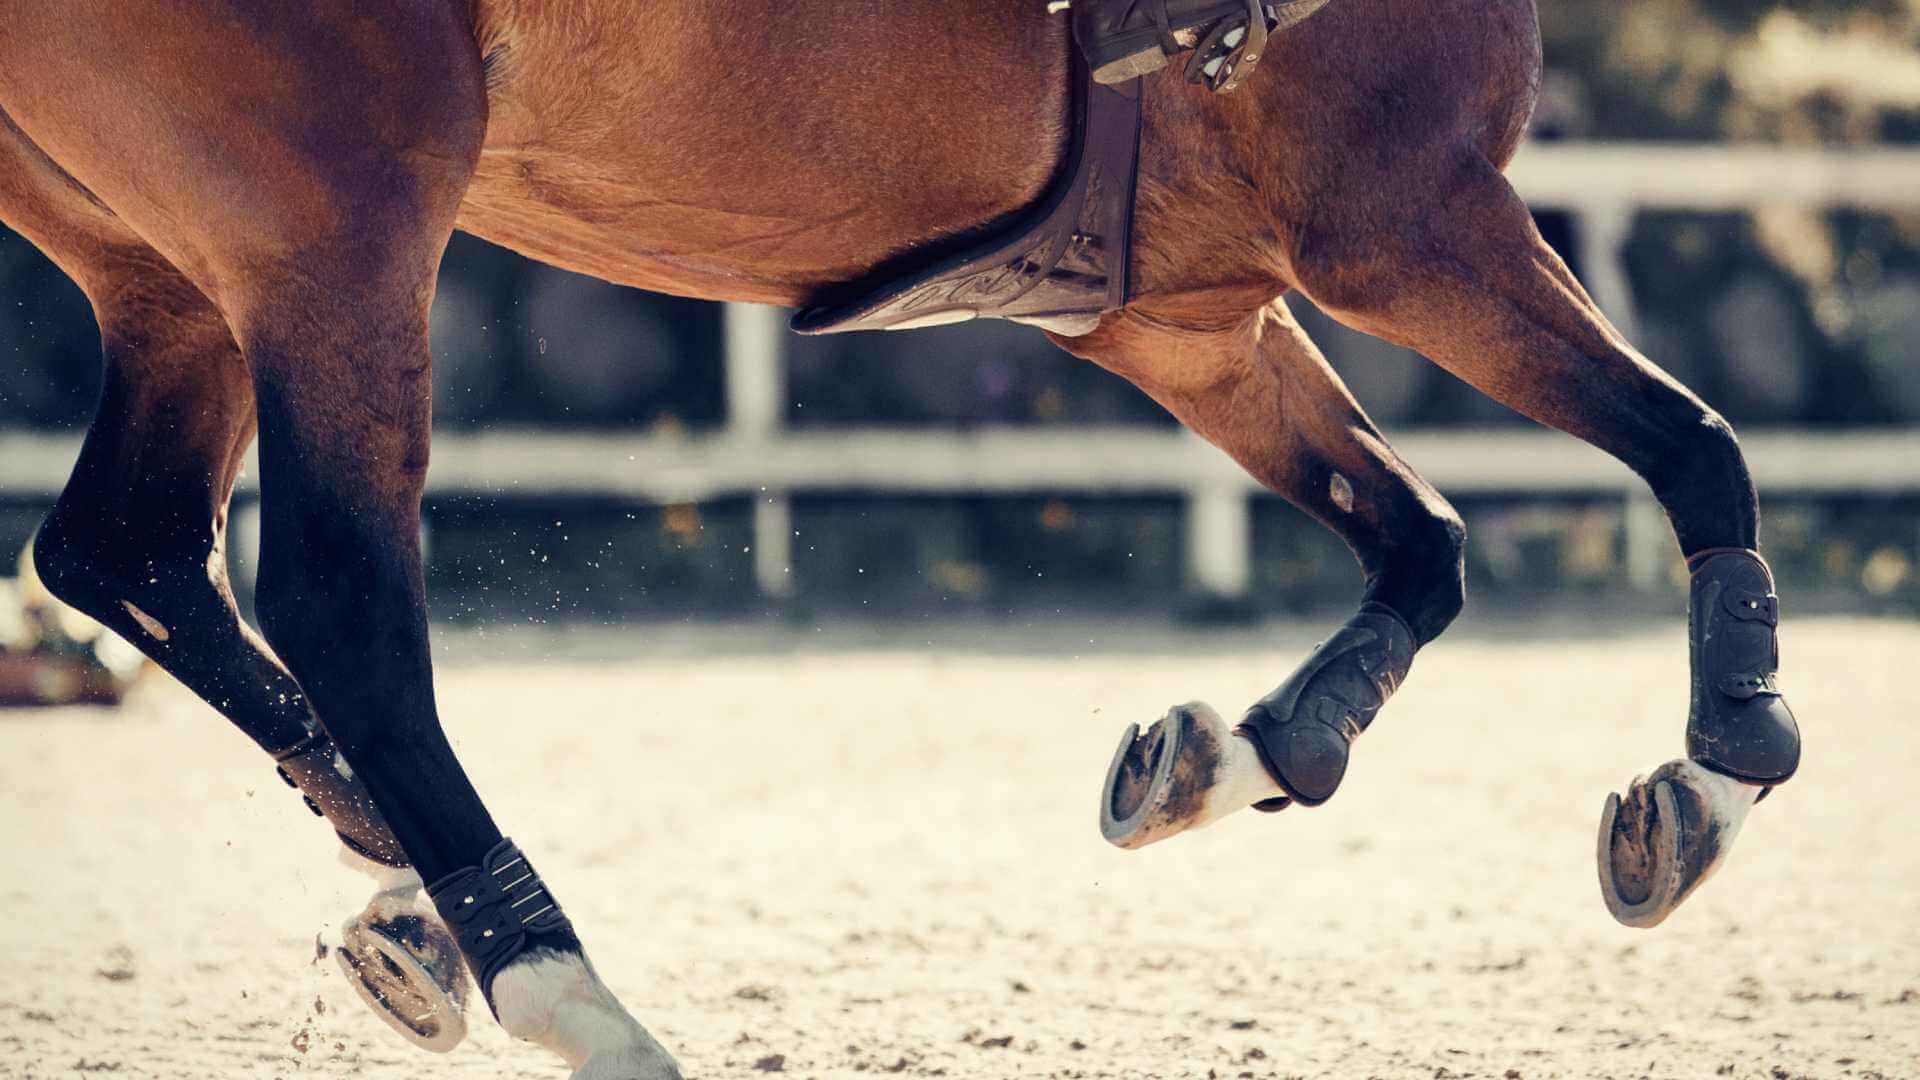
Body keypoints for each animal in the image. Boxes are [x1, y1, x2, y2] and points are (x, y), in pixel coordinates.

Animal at [0, 1, 1801, 1076]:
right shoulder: (1408, 222)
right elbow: (1698, 449)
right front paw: (1716, 772)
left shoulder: (1183, 318)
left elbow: (1420, 539)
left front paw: (1243, 750)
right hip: (336, 226)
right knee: (335, 600)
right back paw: (562, 986)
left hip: (166, 260)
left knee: (125, 554)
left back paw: (406, 887)